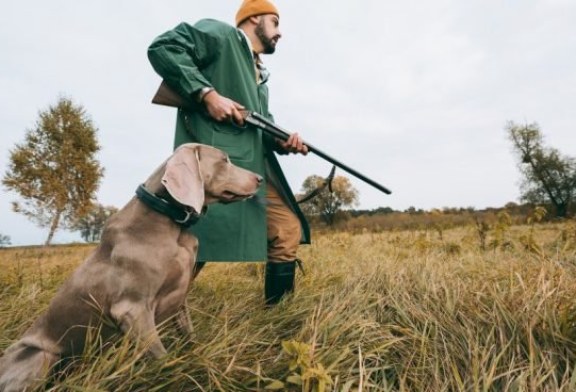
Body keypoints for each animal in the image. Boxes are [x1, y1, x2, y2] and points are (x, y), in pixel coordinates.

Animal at [0, 144, 260, 392]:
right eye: (224, 160)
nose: (259, 178)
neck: (169, 220)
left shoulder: (180, 300)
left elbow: (190, 337)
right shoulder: (132, 309)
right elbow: (162, 358)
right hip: (38, 356)